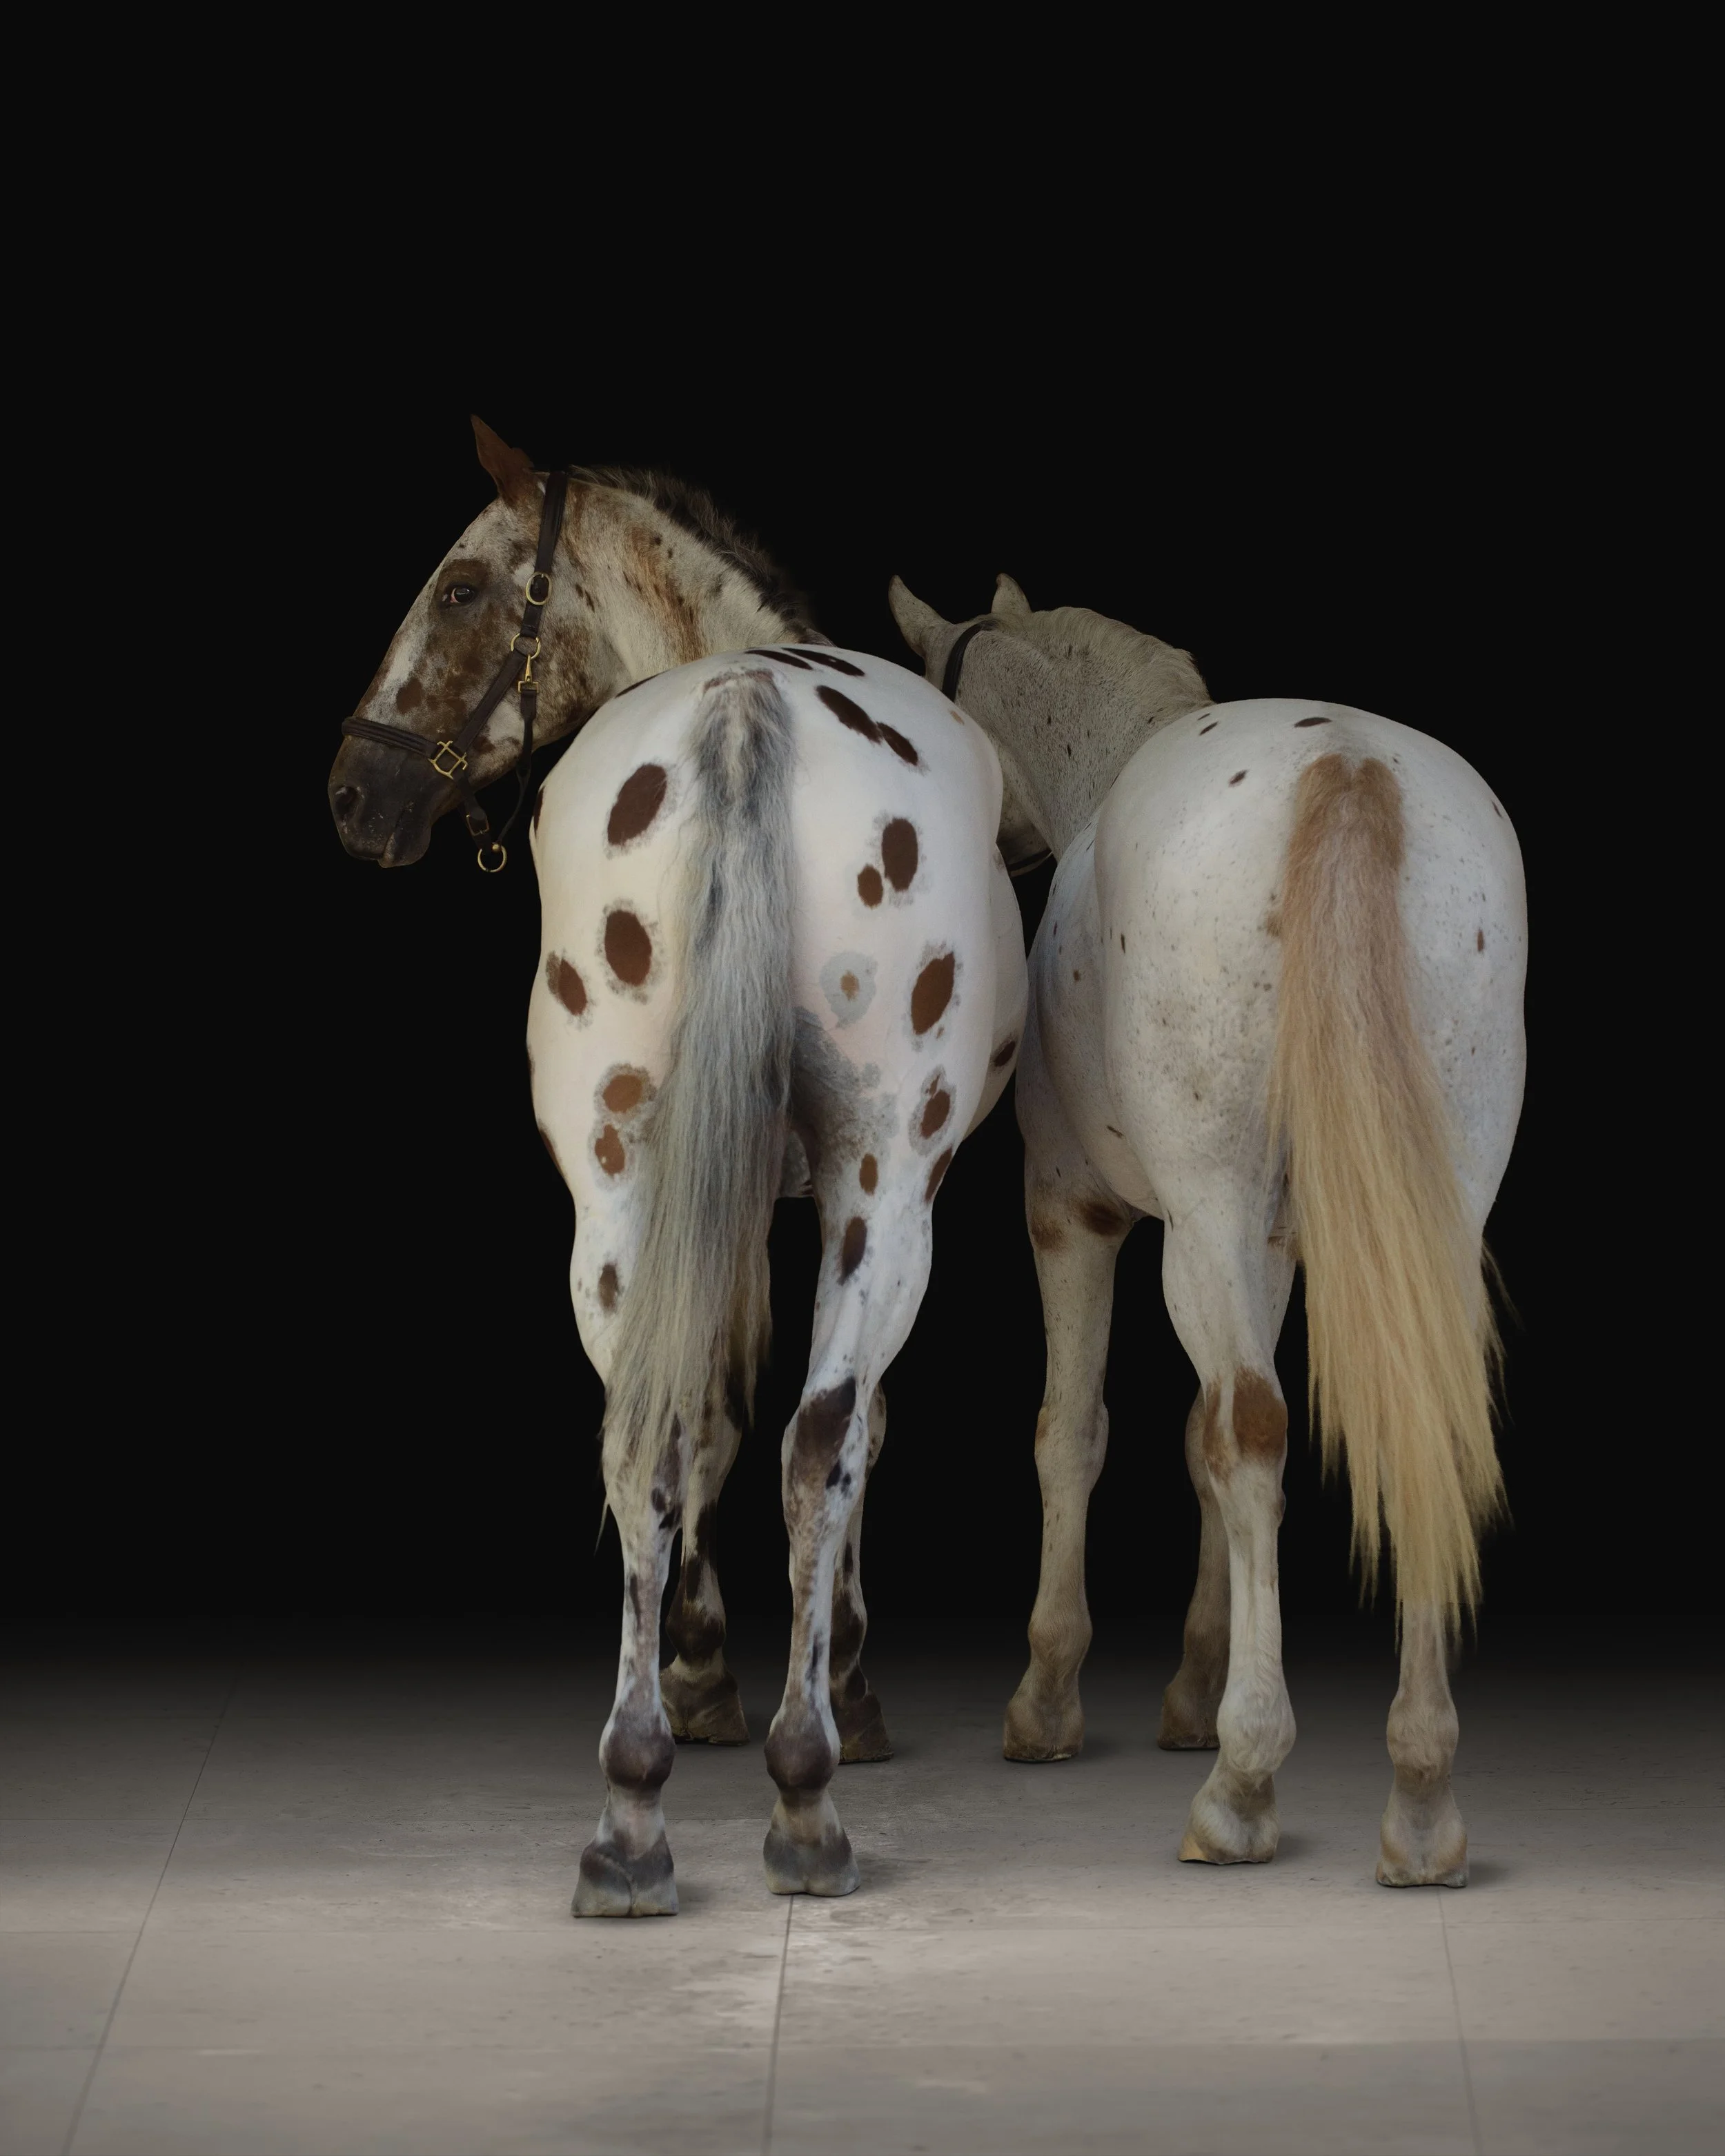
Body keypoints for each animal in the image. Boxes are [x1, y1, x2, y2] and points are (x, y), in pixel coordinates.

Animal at [329, 423, 1027, 1908]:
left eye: (460, 588)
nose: (355, 791)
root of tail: (744, 706)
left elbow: (706, 1407)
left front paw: (708, 1671)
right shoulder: (836, 1199)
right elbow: (821, 1421)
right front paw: (793, 1682)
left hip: (628, 1184)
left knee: (651, 1423)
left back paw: (634, 1801)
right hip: (880, 1191)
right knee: (817, 1435)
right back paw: (799, 1781)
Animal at [888, 574, 1526, 1887]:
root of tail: (1349, 766)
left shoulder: (1075, 1214)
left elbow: (1077, 1435)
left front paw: (1052, 1693)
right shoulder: (1268, 1246)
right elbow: (1198, 1443)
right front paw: (1192, 1684)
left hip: (1203, 1217)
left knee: (1254, 1433)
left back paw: (1244, 1785)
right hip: (1414, 1209)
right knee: (1398, 1422)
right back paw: (1422, 1795)